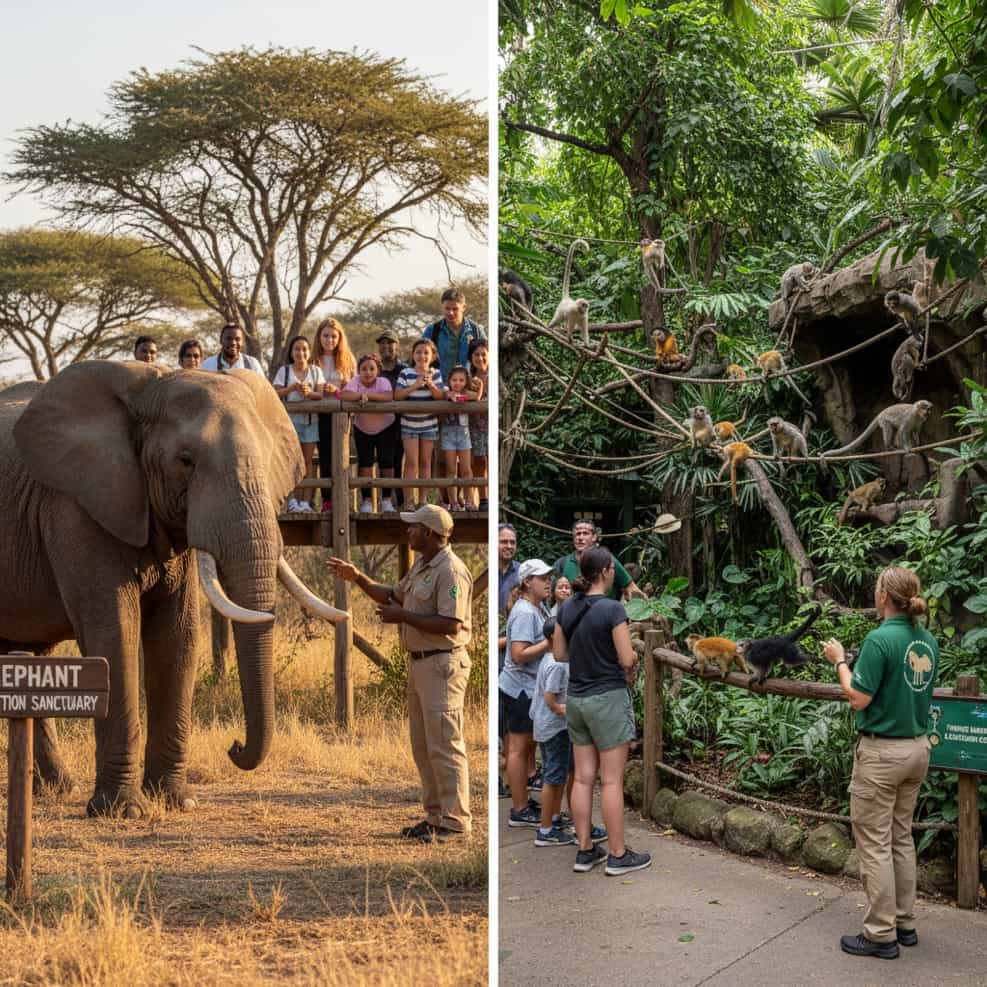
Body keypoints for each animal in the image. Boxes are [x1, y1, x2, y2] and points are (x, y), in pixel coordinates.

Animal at [0, 360, 347, 817]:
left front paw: (177, 801)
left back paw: (55, 789)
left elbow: (177, 635)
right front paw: (122, 811)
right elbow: (115, 631)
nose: (234, 746)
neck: (151, 384)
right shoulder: (75, 505)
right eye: (186, 461)